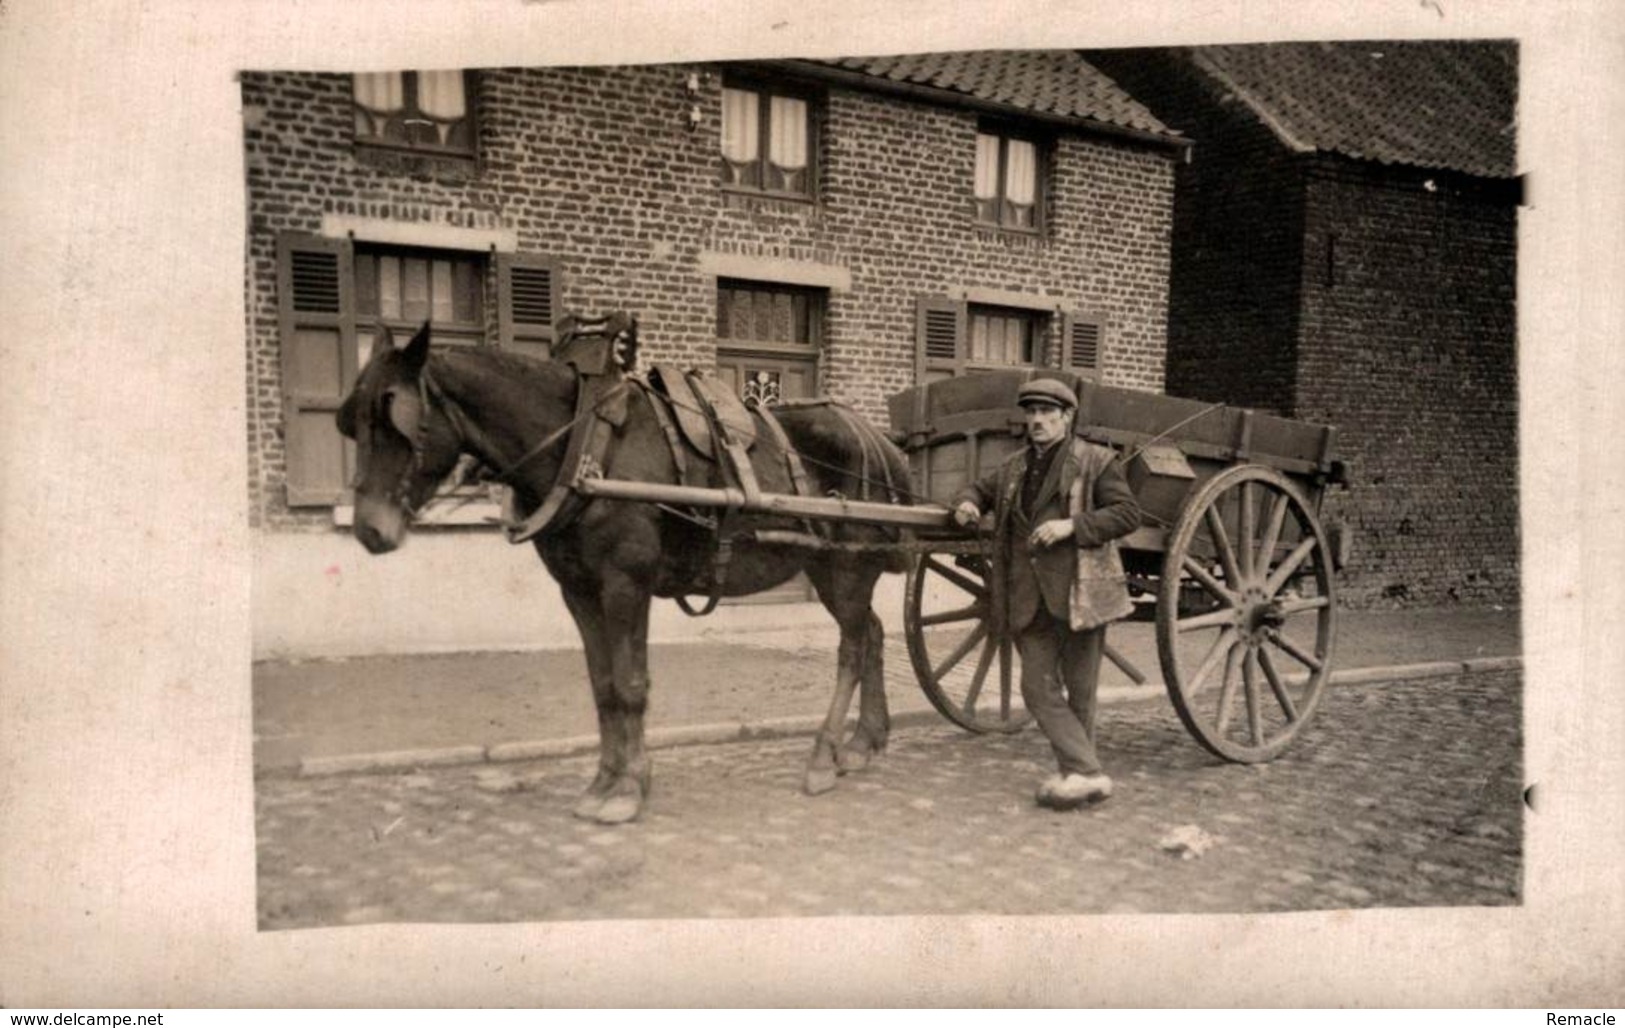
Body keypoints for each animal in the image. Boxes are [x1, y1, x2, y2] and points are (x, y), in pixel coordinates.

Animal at [333, 316, 916, 821]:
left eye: (396, 422)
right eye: (353, 422)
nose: (369, 529)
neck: (584, 449)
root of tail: (878, 439)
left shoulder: (625, 584)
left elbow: (631, 684)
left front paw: (629, 787)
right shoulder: (579, 590)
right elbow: (604, 686)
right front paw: (603, 782)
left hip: (845, 567)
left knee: (853, 648)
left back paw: (822, 756)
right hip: (831, 568)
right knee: (874, 634)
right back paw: (863, 741)